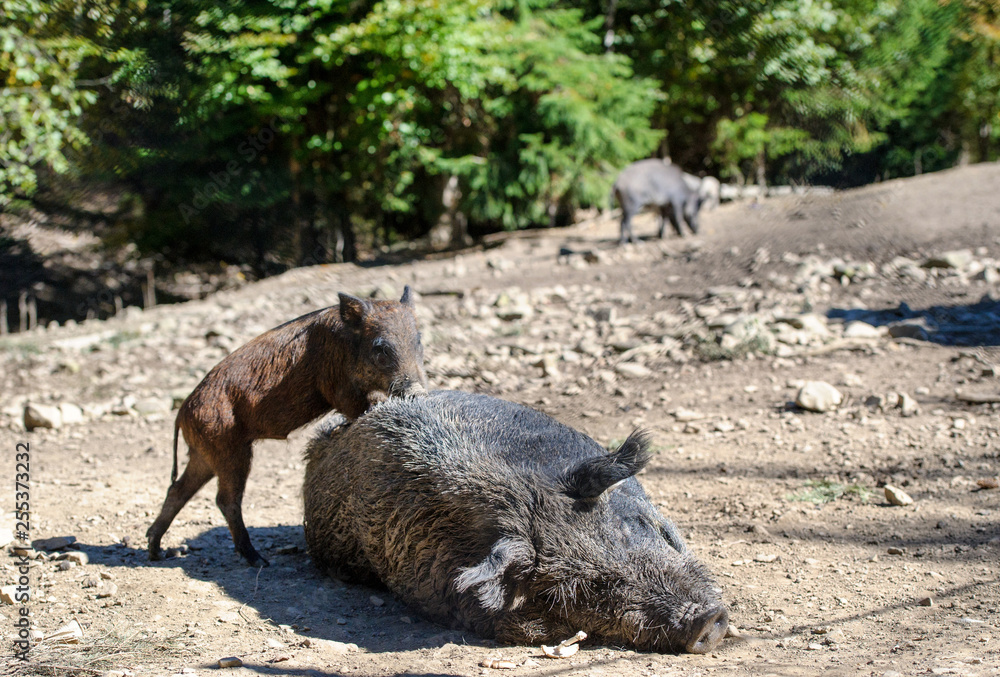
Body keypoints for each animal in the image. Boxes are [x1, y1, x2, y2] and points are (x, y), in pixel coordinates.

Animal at [147, 287, 427, 567]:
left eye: (418, 341)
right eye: (381, 348)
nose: (418, 392)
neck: (347, 345)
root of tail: (182, 412)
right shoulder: (336, 388)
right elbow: (358, 406)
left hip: (204, 455)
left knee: (178, 490)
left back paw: (156, 552)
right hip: (229, 450)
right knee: (225, 500)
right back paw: (258, 560)